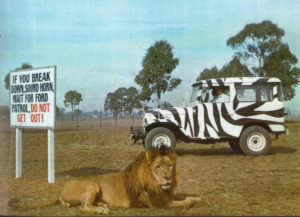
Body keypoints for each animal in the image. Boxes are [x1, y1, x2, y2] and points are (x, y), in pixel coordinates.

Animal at [8, 145, 202, 214]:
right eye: (158, 167)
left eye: (170, 166)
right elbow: (184, 202)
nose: (168, 178)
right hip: (92, 185)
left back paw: (102, 204)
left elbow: (182, 196)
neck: (155, 183)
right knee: (84, 207)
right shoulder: (159, 204)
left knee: (77, 205)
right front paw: (194, 200)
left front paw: (197, 196)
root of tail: (60, 189)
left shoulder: (166, 195)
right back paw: (102, 210)